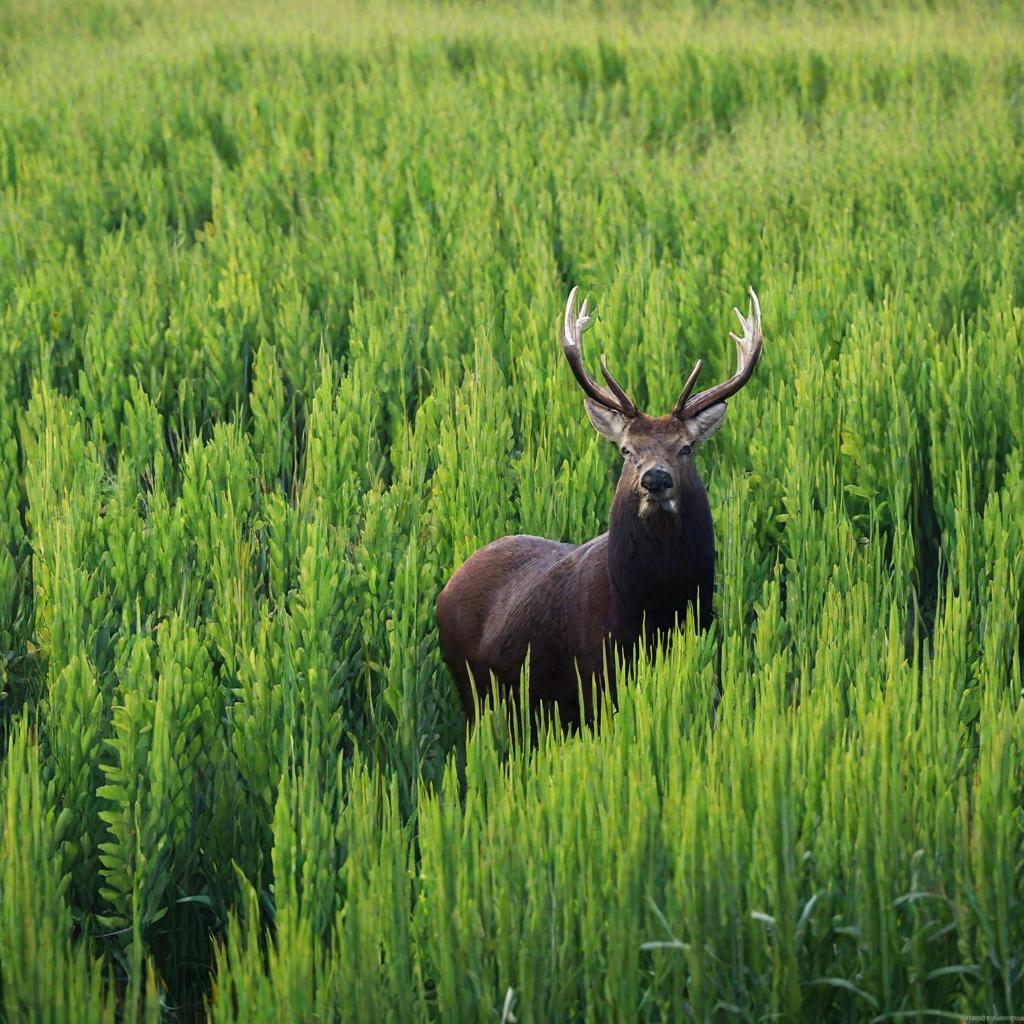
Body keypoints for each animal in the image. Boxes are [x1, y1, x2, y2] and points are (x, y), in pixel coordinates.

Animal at [436, 284, 765, 724]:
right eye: (626, 450)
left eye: (687, 448)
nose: (655, 478)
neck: (654, 610)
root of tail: (449, 584)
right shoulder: (595, 678)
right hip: (472, 688)